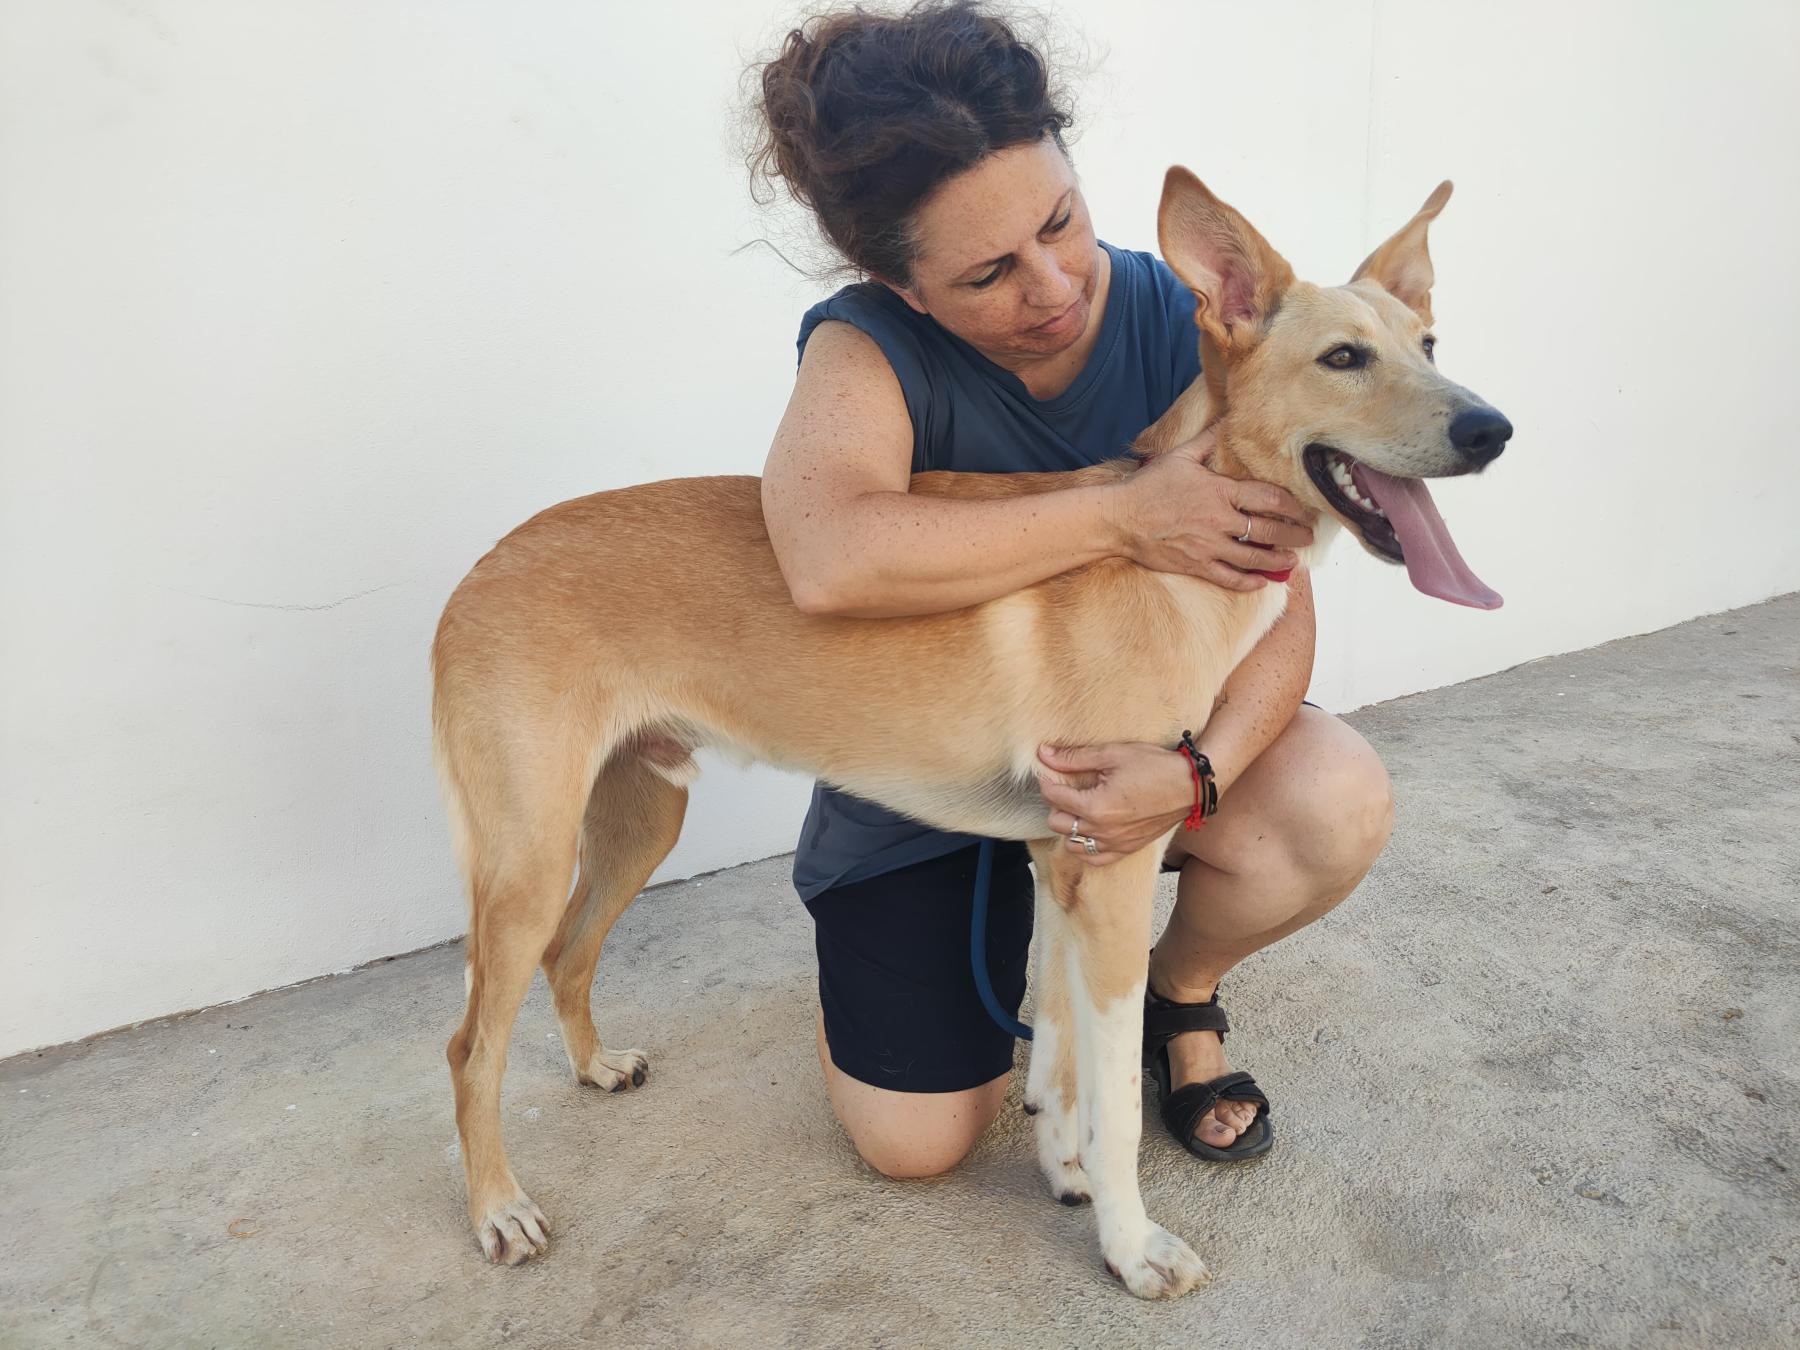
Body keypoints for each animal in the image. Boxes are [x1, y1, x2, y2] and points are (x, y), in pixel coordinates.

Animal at [430, 167, 1511, 1298]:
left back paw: (594, 1066)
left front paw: (1063, 1164)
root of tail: (480, 570)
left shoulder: (1065, 855)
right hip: (530, 855)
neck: (1165, 565)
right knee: (470, 1046)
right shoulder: (1113, 873)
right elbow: (1114, 1100)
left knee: (568, 954)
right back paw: (499, 1207)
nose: (1494, 430)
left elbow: (1064, 1058)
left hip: (640, 816)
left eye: (1429, 343)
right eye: (1343, 358)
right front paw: (1132, 1245)